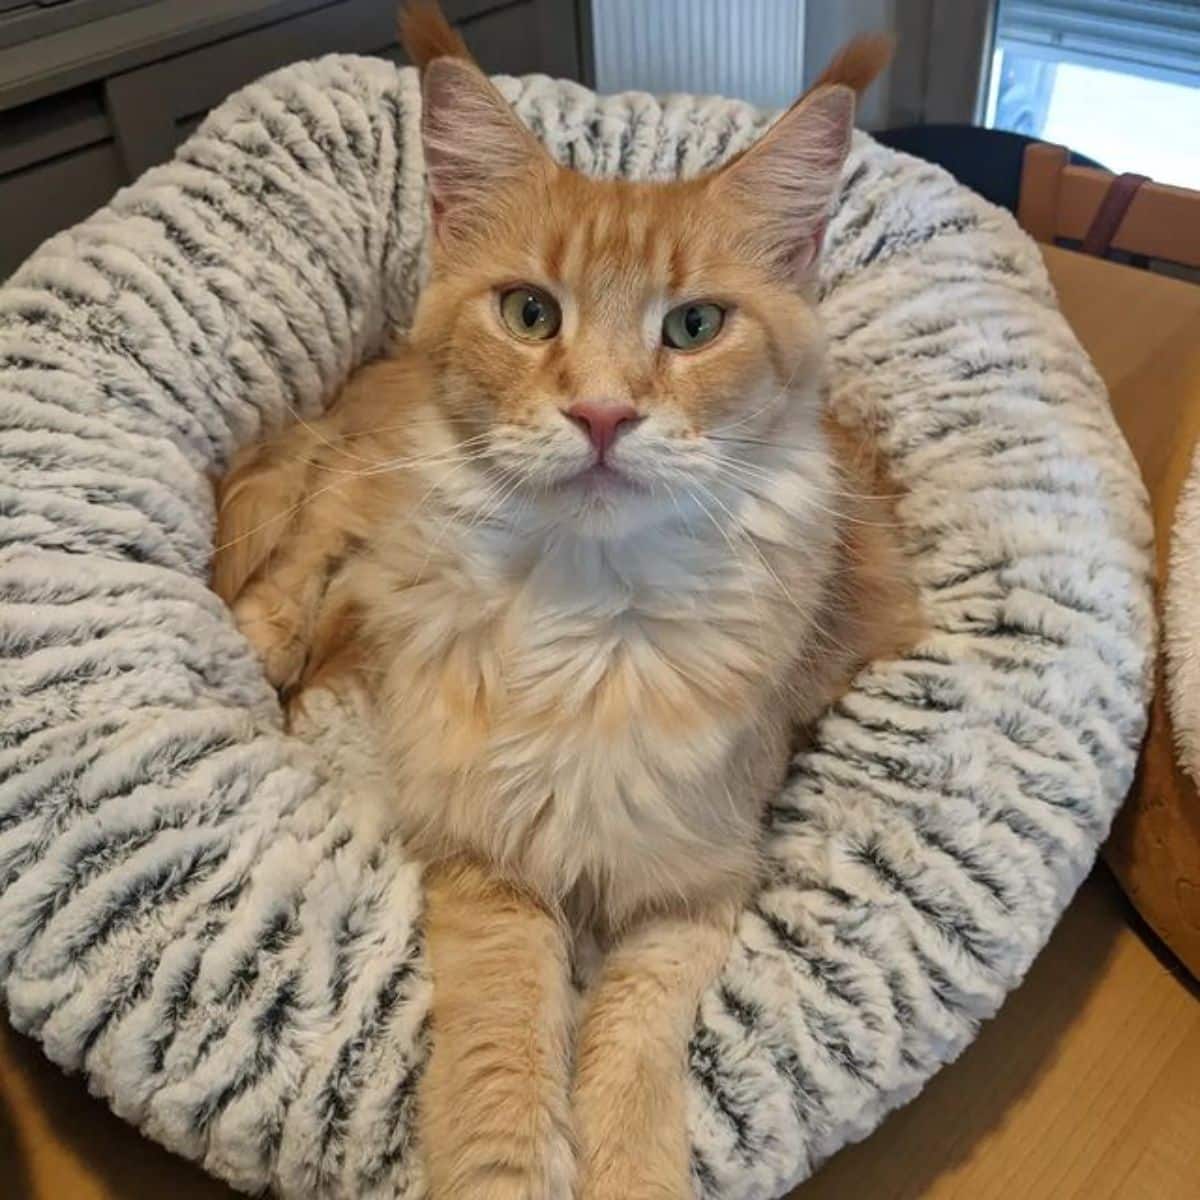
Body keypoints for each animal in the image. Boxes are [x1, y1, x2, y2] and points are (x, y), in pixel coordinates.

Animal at [213, 4, 907, 1195]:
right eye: (531, 313)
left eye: (694, 327)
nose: (601, 415)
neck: (595, 628)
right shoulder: (485, 858)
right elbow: (507, 1055)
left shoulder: (697, 883)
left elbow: (629, 1051)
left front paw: (630, 1164)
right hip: (358, 494)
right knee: (298, 557)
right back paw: (260, 649)